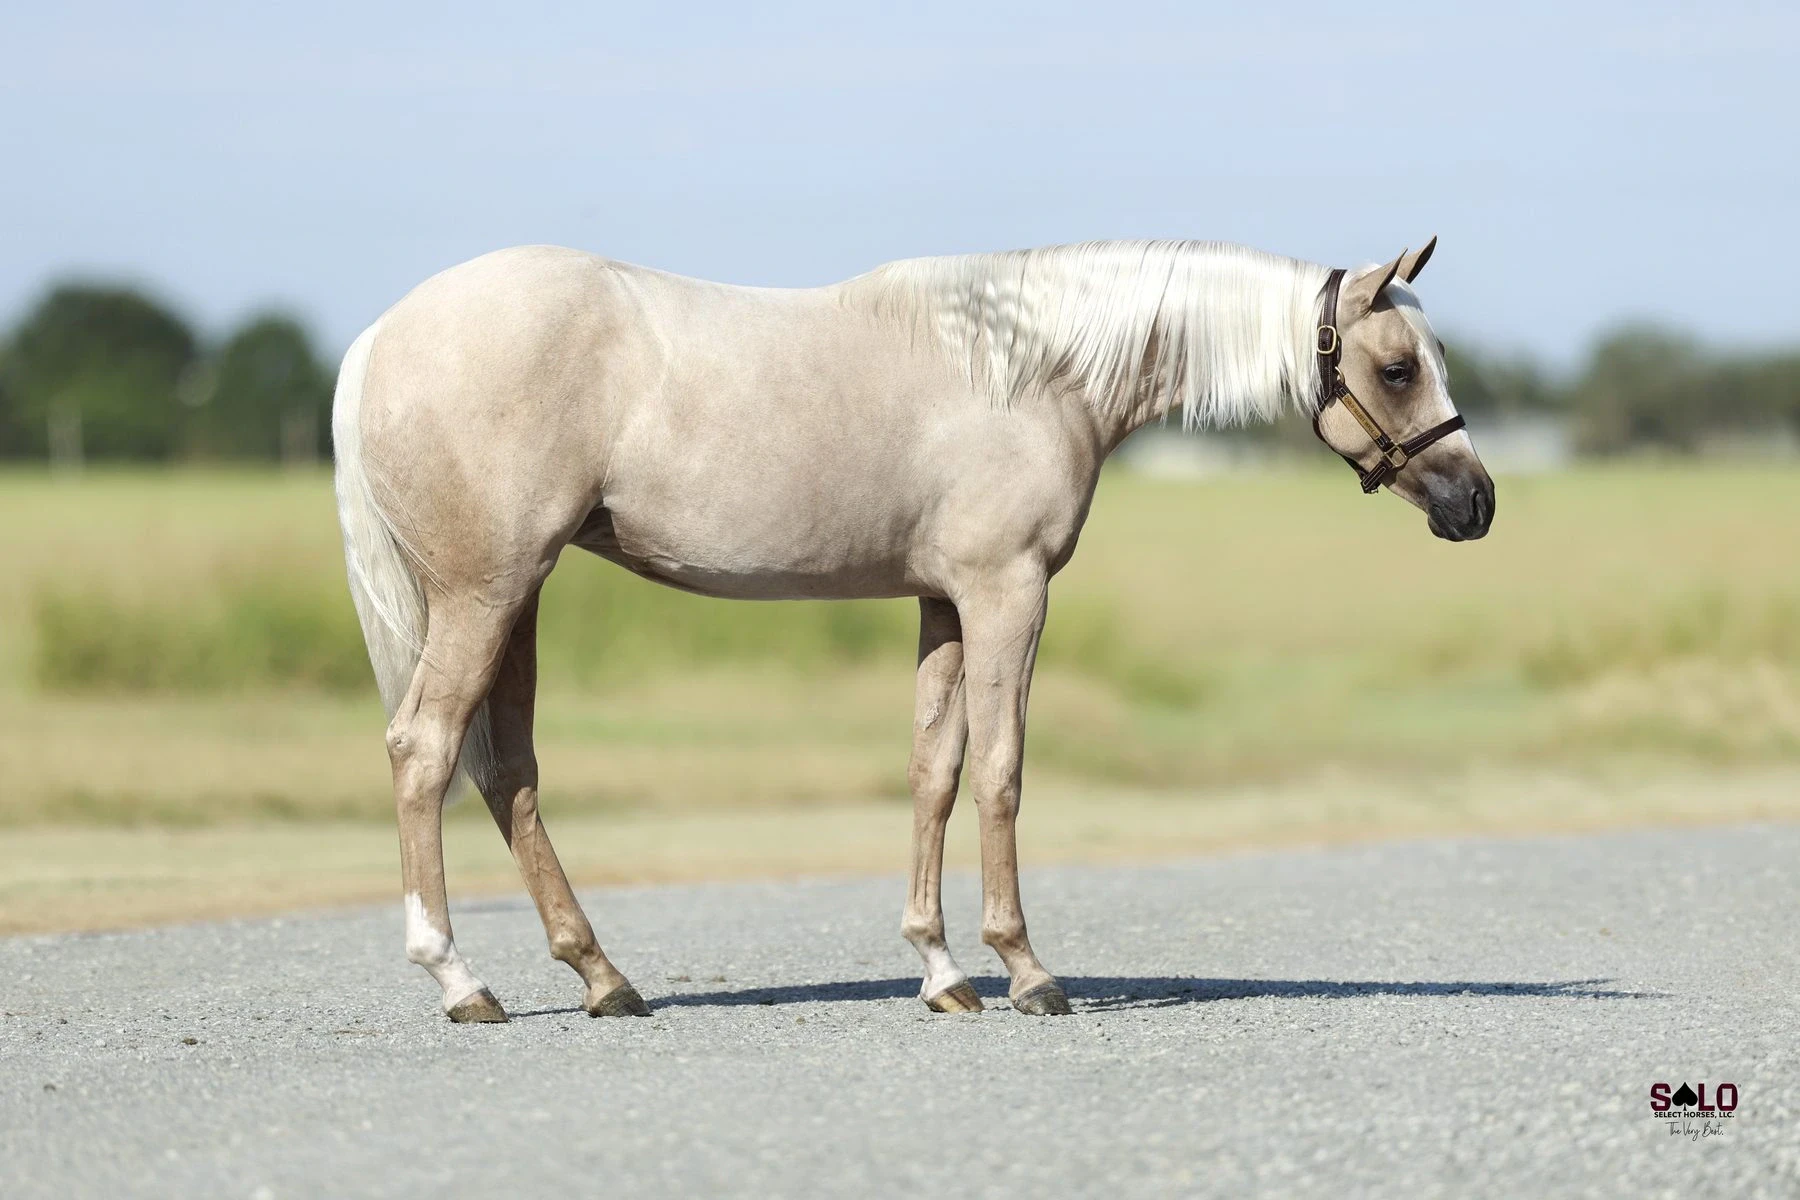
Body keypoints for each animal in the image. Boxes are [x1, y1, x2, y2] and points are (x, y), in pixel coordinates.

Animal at [332, 236, 1493, 1022]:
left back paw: (603, 976)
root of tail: (379, 338)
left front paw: (941, 971)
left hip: (515, 600)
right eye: (1398, 366)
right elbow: (1001, 770)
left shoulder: (944, 604)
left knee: (508, 772)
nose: (1474, 503)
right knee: (424, 750)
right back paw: (460, 979)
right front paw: (1025, 970)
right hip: (484, 595)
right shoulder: (1007, 593)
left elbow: (933, 771)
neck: (1035, 369)